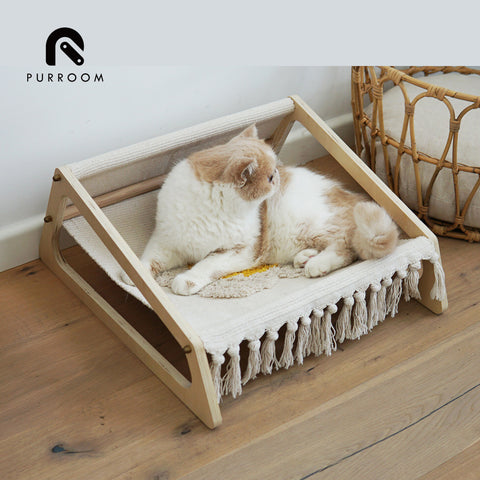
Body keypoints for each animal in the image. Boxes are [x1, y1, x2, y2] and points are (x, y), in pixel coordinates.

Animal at [122, 124, 399, 295]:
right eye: (270, 176)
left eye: (275, 171)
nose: (278, 175)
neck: (207, 208)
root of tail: (356, 198)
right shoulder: (167, 239)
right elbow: (149, 258)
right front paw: (135, 275)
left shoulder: (242, 250)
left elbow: (207, 264)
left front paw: (186, 279)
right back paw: (305, 257)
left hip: (315, 224)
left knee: (346, 248)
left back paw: (317, 264)